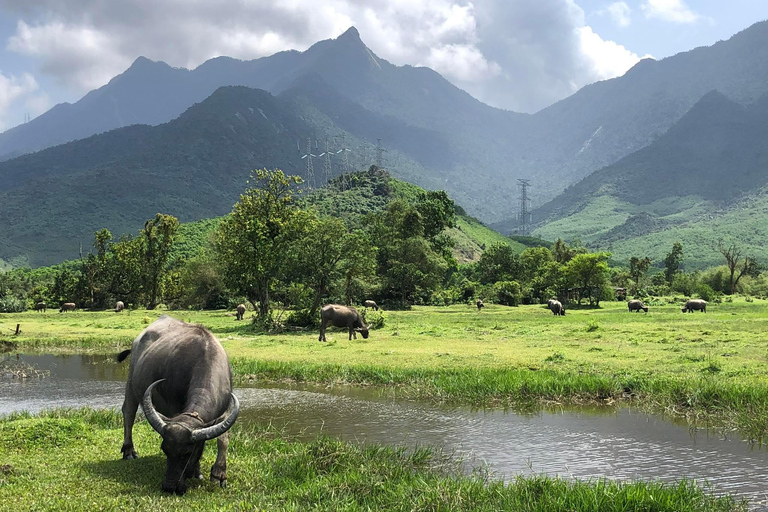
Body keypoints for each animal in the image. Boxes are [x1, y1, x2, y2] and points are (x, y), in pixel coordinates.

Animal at [115, 314, 237, 494]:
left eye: (187, 453)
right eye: (165, 450)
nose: (169, 486)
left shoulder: (225, 410)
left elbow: (223, 438)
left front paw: (218, 475)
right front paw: (197, 471)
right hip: (131, 383)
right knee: (128, 413)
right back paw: (129, 451)